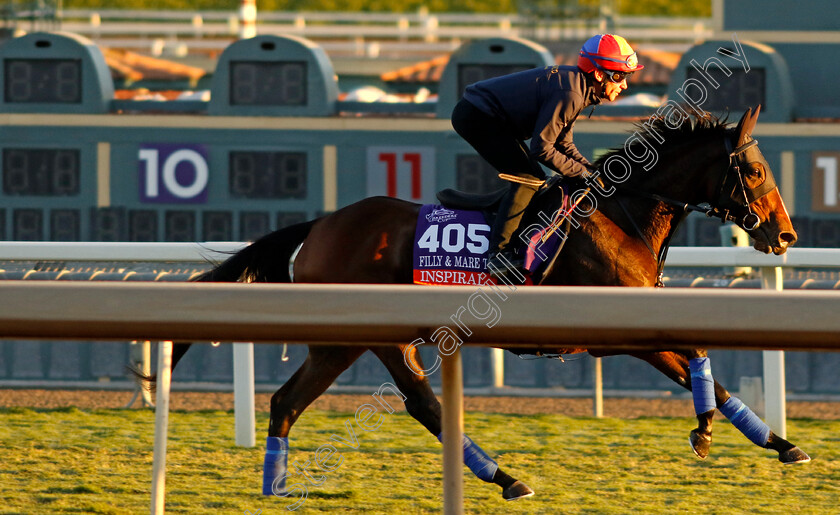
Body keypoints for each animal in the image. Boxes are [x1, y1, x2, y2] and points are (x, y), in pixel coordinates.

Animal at [138, 105, 808, 504]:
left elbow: (709, 371)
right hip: (381, 338)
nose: (786, 234)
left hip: (339, 342)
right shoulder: (615, 332)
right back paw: (506, 478)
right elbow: (697, 358)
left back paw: (276, 486)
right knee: (426, 407)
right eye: (753, 170)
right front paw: (704, 430)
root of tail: (322, 224)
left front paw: (781, 444)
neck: (621, 215)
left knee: (287, 401)